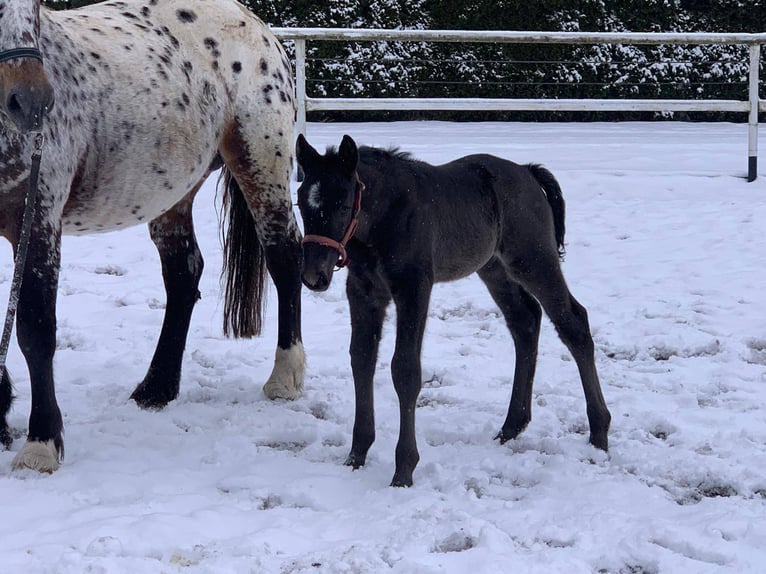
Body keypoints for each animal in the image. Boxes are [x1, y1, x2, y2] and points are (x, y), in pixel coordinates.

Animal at [0, 0, 306, 473]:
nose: (30, 101)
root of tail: (252, 22)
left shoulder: (38, 217)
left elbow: (35, 328)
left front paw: (40, 444)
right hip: (175, 193)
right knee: (184, 275)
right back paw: (157, 387)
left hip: (262, 166)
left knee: (285, 260)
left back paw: (284, 377)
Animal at [296, 134, 611, 487]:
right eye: (301, 203)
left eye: (342, 204)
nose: (314, 275)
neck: (386, 216)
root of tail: (527, 171)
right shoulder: (364, 292)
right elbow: (361, 358)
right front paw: (356, 455)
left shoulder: (414, 288)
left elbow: (405, 369)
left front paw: (404, 470)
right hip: (493, 268)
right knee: (525, 320)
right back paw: (511, 426)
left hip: (533, 259)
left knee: (573, 322)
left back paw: (599, 432)